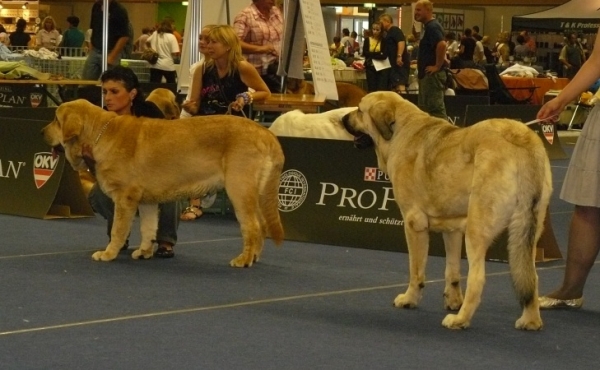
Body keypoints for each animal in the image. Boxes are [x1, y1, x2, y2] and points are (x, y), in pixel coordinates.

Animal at [42, 99, 286, 266]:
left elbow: (119, 230)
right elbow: (148, 228)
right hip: (257, 194)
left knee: (252, 227)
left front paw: (109, 253)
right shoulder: (146, 201)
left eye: (56, 119)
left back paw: (244, 259)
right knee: (262, 225)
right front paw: (144, 252)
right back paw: (254, 257)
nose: (42, 131)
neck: (99, 133)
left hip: (239, 190)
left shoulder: (125, 198)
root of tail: (266, 133)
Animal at [342, 92, 552, 330]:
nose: (342, 119)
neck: (399, 131)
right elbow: (452, 270)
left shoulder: (414, 224)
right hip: (527, 232)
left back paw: (460, 319)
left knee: (477, 279)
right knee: (530, 276)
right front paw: (452, 300)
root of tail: (521, 139)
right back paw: (531, 320)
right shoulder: (452, 230)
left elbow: (416, 270)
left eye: (360, 110)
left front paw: (410, 299)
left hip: (477, 229)